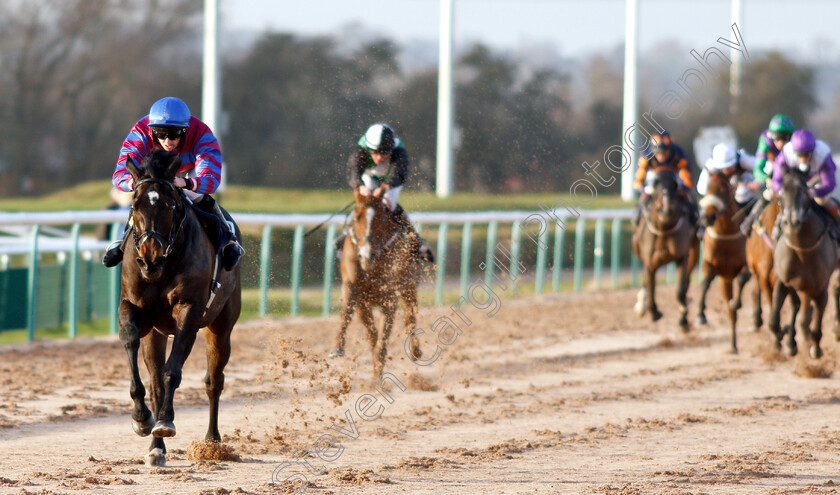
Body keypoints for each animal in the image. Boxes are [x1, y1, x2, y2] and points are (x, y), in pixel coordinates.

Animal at [116, 149, 240, 466]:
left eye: (171, 205)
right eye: (134, 205)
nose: (150, 258)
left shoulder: (190, 311)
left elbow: (173, 371)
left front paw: (164, 421)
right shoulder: (134, 308)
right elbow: (131, 344)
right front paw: (142, 418)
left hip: (222, 325)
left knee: (214, 381)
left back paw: (212, 441)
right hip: (157, 332)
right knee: (157, 383)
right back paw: (156, 448)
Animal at [330, 188, 424, 382]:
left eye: (380, 218)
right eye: (357, 217)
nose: (367, 254)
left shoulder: (389, 299)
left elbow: (382, 341)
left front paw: (377, 378)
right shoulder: (355, 293)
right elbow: (351, 319)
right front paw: (338, 348)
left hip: (409, 285)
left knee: (410, 317)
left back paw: (415, 350)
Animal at [632, 168, 704, 334]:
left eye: (674, 188)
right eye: (657, 188)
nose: (665, 210)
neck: (664, 230)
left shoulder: (682, 257)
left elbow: (680, 291)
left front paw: (683, 318)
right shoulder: (649, 263)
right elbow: (651, 288)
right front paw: (654, 312)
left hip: (694, 250)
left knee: (686, 282)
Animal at [692, 172, 752, 354]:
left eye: (724, 190)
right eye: (706, 188)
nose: (708, 217)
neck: (726, 235)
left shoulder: (747, 266)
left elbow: (742, 278)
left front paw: (737, 302)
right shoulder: (712, 266)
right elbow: (705, 283)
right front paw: (700, 315)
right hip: (726, 281)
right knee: (731, 313)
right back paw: (733, 345)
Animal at [772, 169, 836, 358]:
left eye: (804, 192)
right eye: (781, 195)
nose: (791, 221)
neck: (802, 252)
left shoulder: (819, 286)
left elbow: (815, 316)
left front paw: (815, 347)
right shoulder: (783, 281)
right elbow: (774, 320)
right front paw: (784, 337)